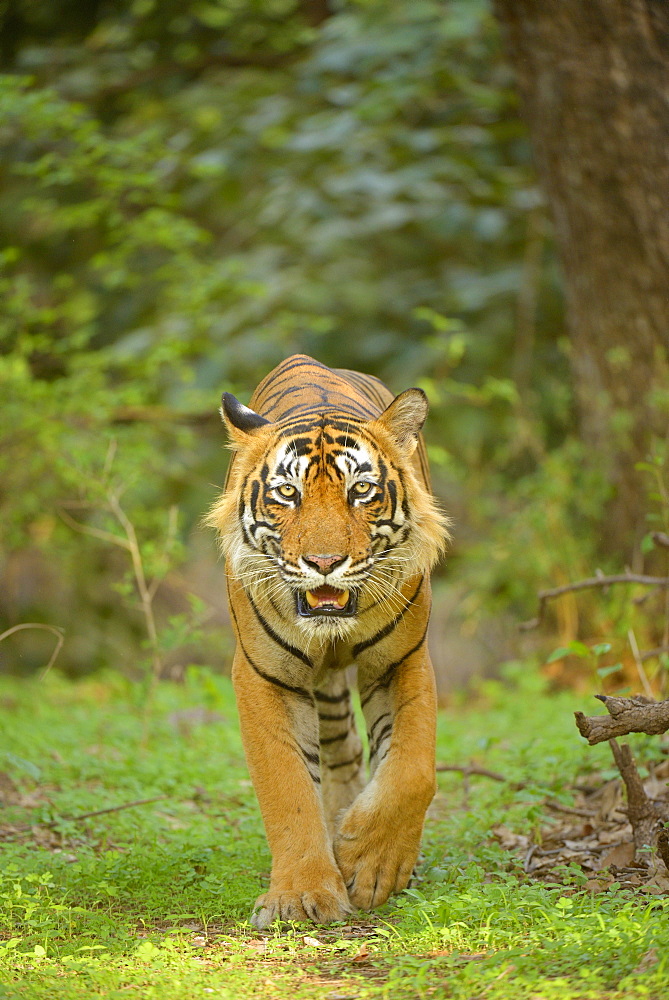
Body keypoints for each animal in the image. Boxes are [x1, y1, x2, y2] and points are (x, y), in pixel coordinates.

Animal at [206, 354, 452, 928]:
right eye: (287, 493)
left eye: (360, 491)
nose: (323, 563)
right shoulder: (264, 674)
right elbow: (287, 786)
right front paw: (301, 895)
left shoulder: (402, 660)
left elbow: (412, 770)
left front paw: (371, 863)